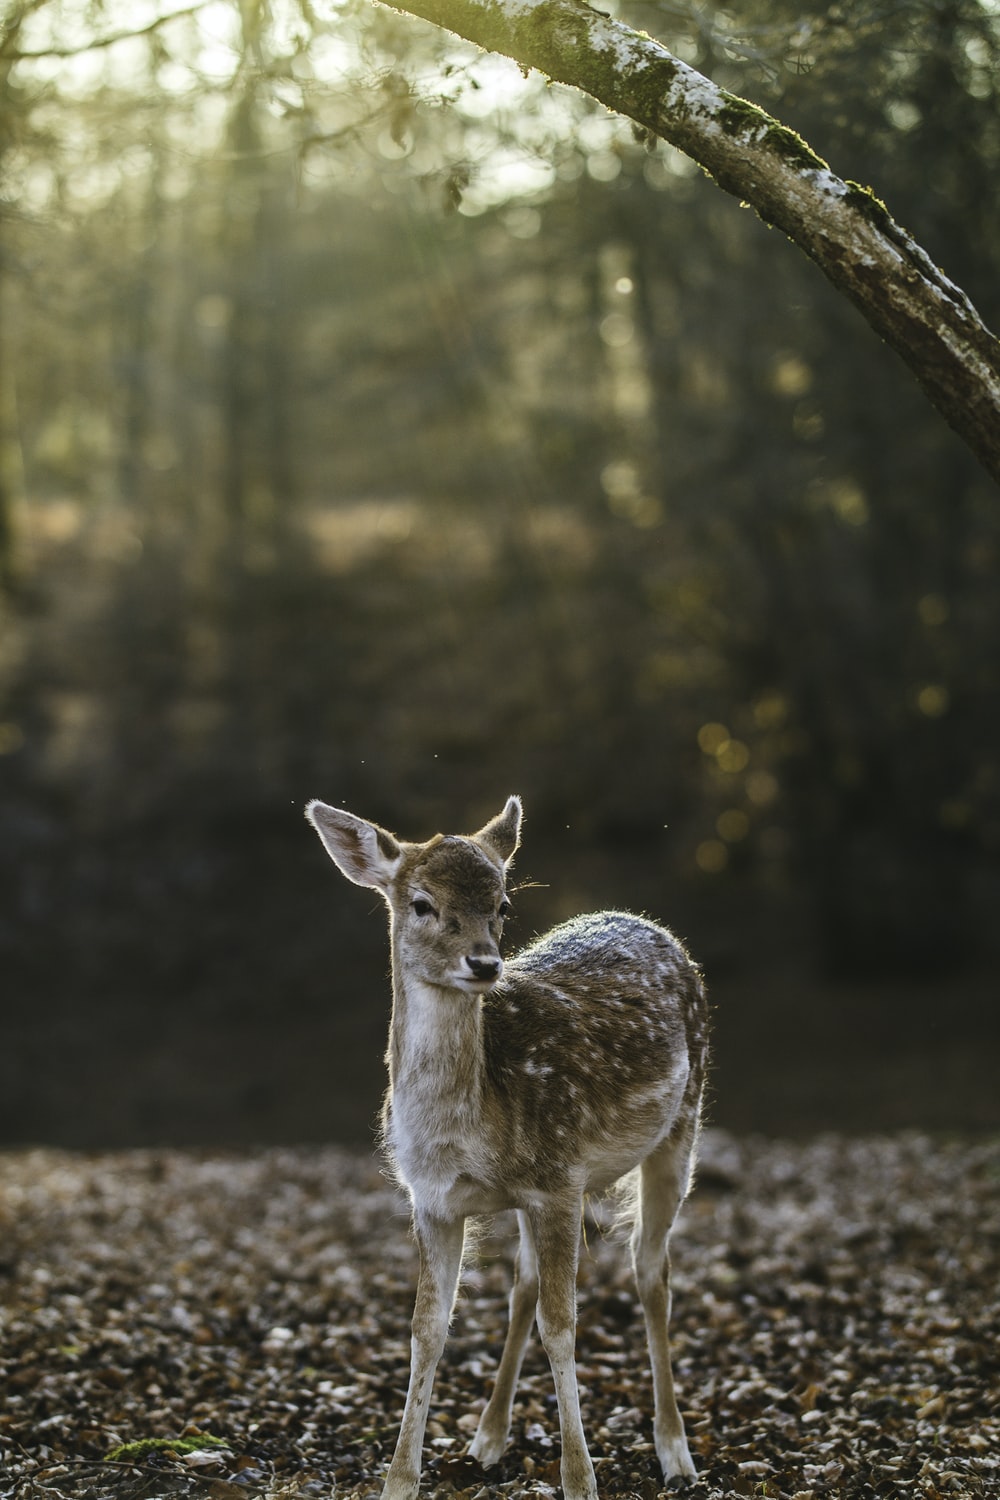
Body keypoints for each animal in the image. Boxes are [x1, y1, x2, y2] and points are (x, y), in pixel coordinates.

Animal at [305, 794, 709, 1500]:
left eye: (503, 905)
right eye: (421, 902)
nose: (485, 963)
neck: (465, 1133)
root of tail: (650, 925)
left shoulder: (561, 1179)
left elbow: (562, 1326)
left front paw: (580, 1480)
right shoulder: (433, 1201)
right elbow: (428, 1329)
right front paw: (399, 1480)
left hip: (682, 1125)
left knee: (650, 1271)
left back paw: (675, 1452)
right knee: (523, 1284)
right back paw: (488, 1438)